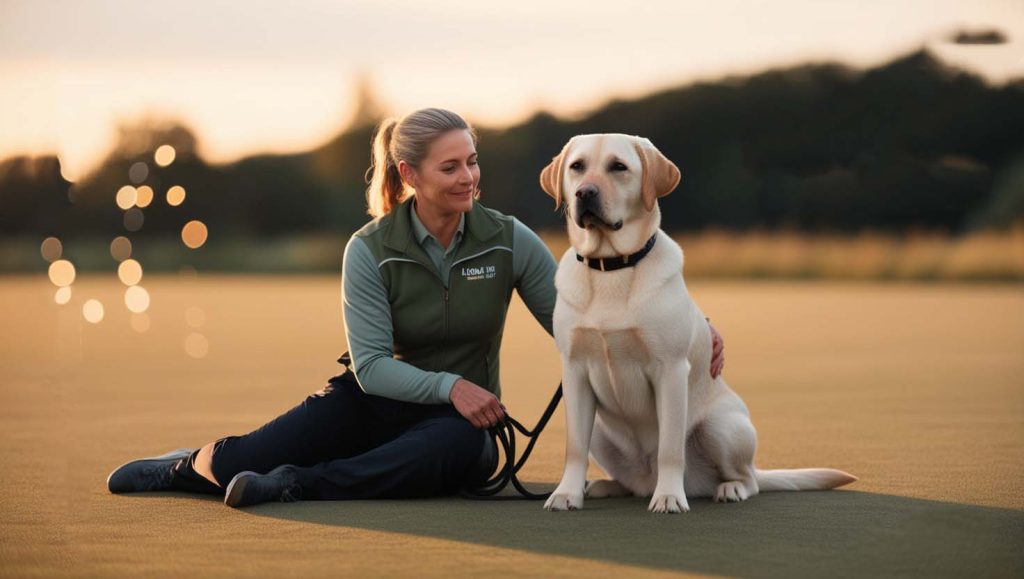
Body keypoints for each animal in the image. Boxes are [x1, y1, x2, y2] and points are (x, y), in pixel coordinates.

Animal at [544, 134, 856, 510]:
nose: (584, 193)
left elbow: (669, 448)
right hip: (602, 433)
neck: (612, 267)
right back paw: (607, 485)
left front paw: (668, 497)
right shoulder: (574, 372)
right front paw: (566, 494)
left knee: (749, 479)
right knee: (630, 480)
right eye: (577, 167)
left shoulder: (670, 370)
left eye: (618, 167)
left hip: (721, 427)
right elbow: (573, 449)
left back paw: (727, 488)